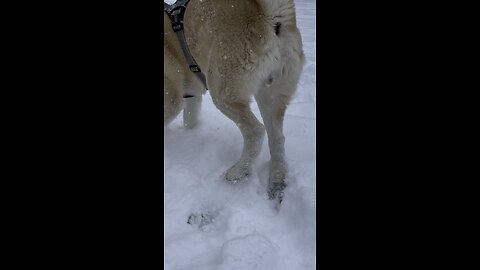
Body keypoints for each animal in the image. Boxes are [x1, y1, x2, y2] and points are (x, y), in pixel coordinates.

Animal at [165, 0, 304, 199]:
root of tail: (271, 17)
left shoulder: (172, 99)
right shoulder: (192, 97)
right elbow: (189, 120)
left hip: (223, 90)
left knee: (256, 131)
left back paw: (239, 171)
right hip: (271, 93)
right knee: (277, 139)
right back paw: (277, 180)